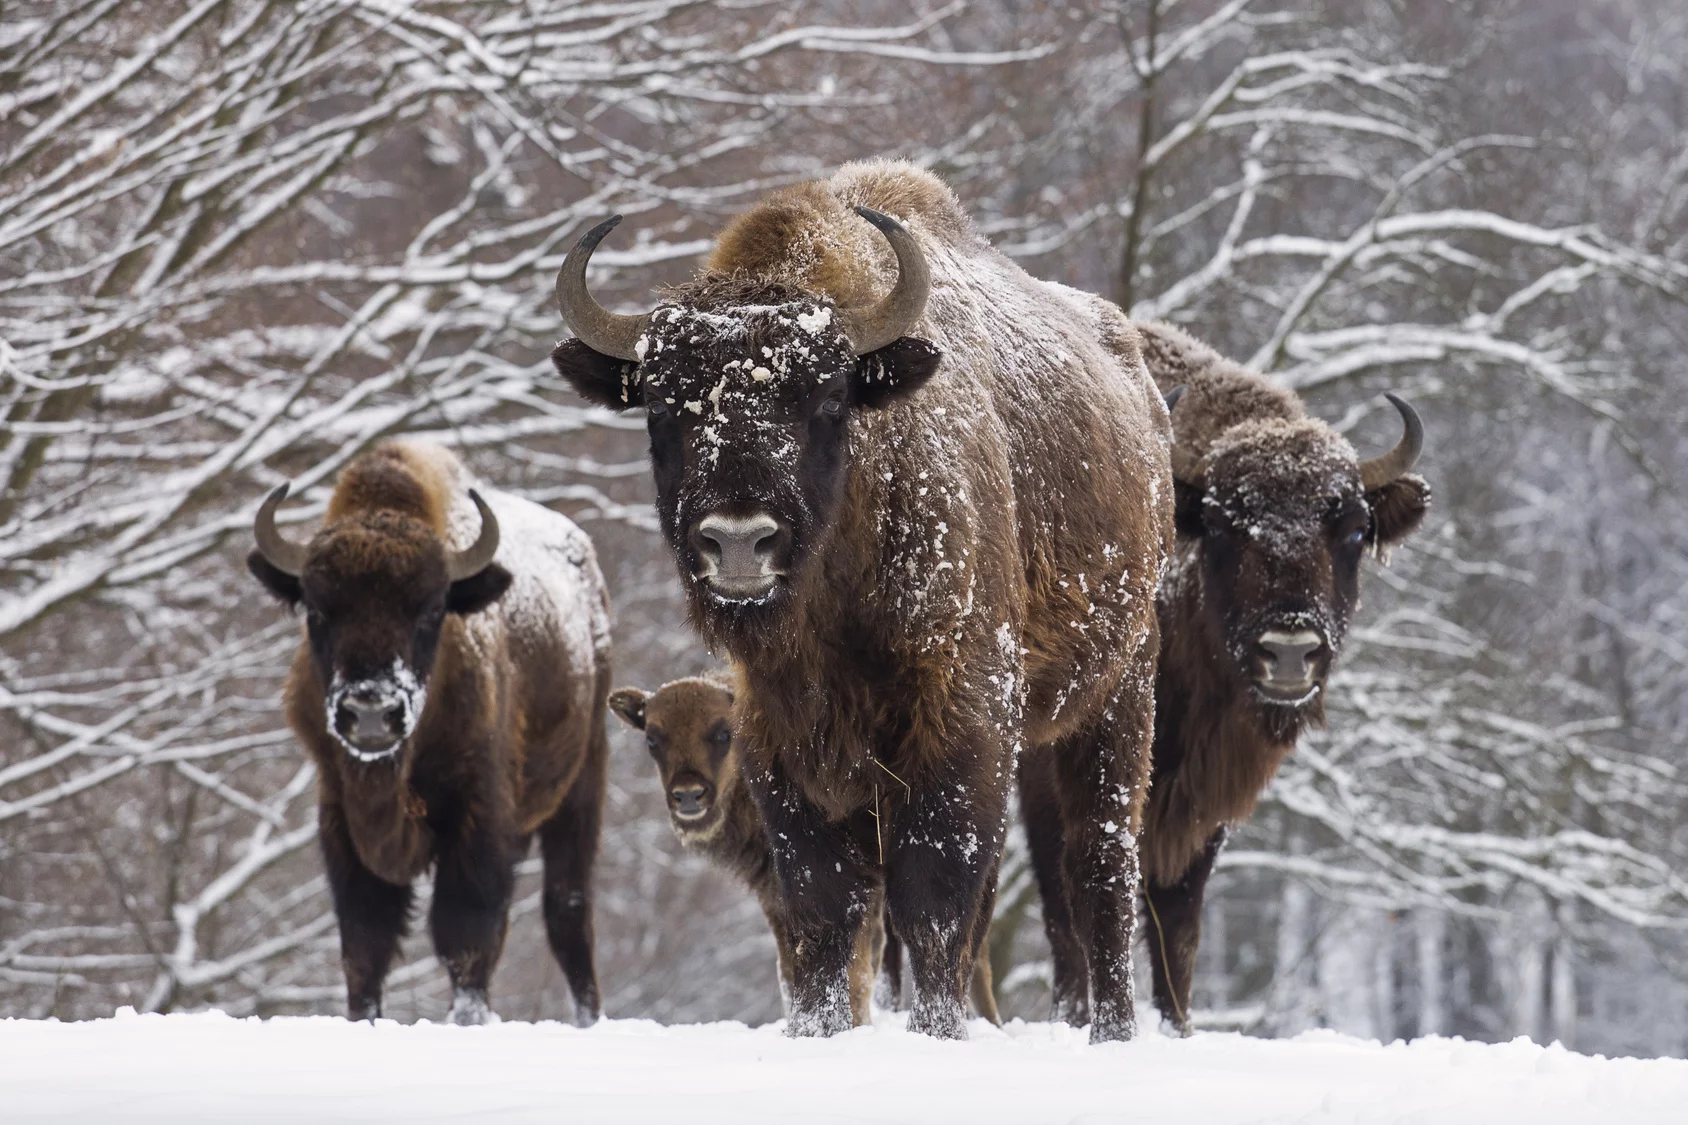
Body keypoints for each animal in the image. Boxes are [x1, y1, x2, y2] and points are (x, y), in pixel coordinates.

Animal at [246, 439, 617, 1027]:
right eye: (318, 610)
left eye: (433, 610)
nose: (371, 712)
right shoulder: (341, 821)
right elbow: (364, 946)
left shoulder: (478, 820)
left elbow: (466, 936)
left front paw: (468, 1018)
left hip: (582, 784)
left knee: (568, 911)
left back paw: (588, 1017)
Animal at [553, 162, 1174, 1040]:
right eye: (665, 409)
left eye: (824, 401)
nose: (737, 540)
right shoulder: (782, 745)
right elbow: (824, 913)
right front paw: (822, 1032)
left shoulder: (957, 726)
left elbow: (932, 902)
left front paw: (936, 1031)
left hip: (1121, 691)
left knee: (1102, 863)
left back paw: (1111, 1030)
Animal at [1026, 319, 1424, 1027]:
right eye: (1221, 524)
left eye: (1353, 529)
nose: (1289, 651)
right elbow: (1069, 905)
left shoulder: (1202, 804)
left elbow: (1178, 924)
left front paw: (1177, 1025)